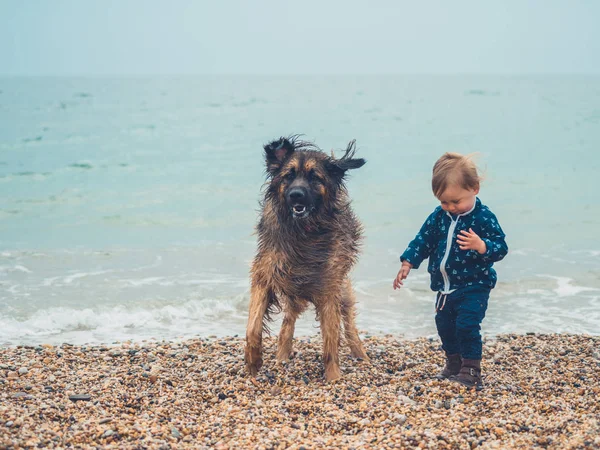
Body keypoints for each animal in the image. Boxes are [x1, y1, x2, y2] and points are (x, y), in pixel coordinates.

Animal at [245, 135, 370, 382]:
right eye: (288, 176)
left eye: (315, 178)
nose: (296, 194)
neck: (303, 232)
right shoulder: (265, 273)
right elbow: (253, 326)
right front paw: (253, 362)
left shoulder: (329, 286)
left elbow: (331, 339)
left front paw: (333, 378)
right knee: (288, 321)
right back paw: (282, 356)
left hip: (341, 288)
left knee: (349, 322)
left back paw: (362, 356)